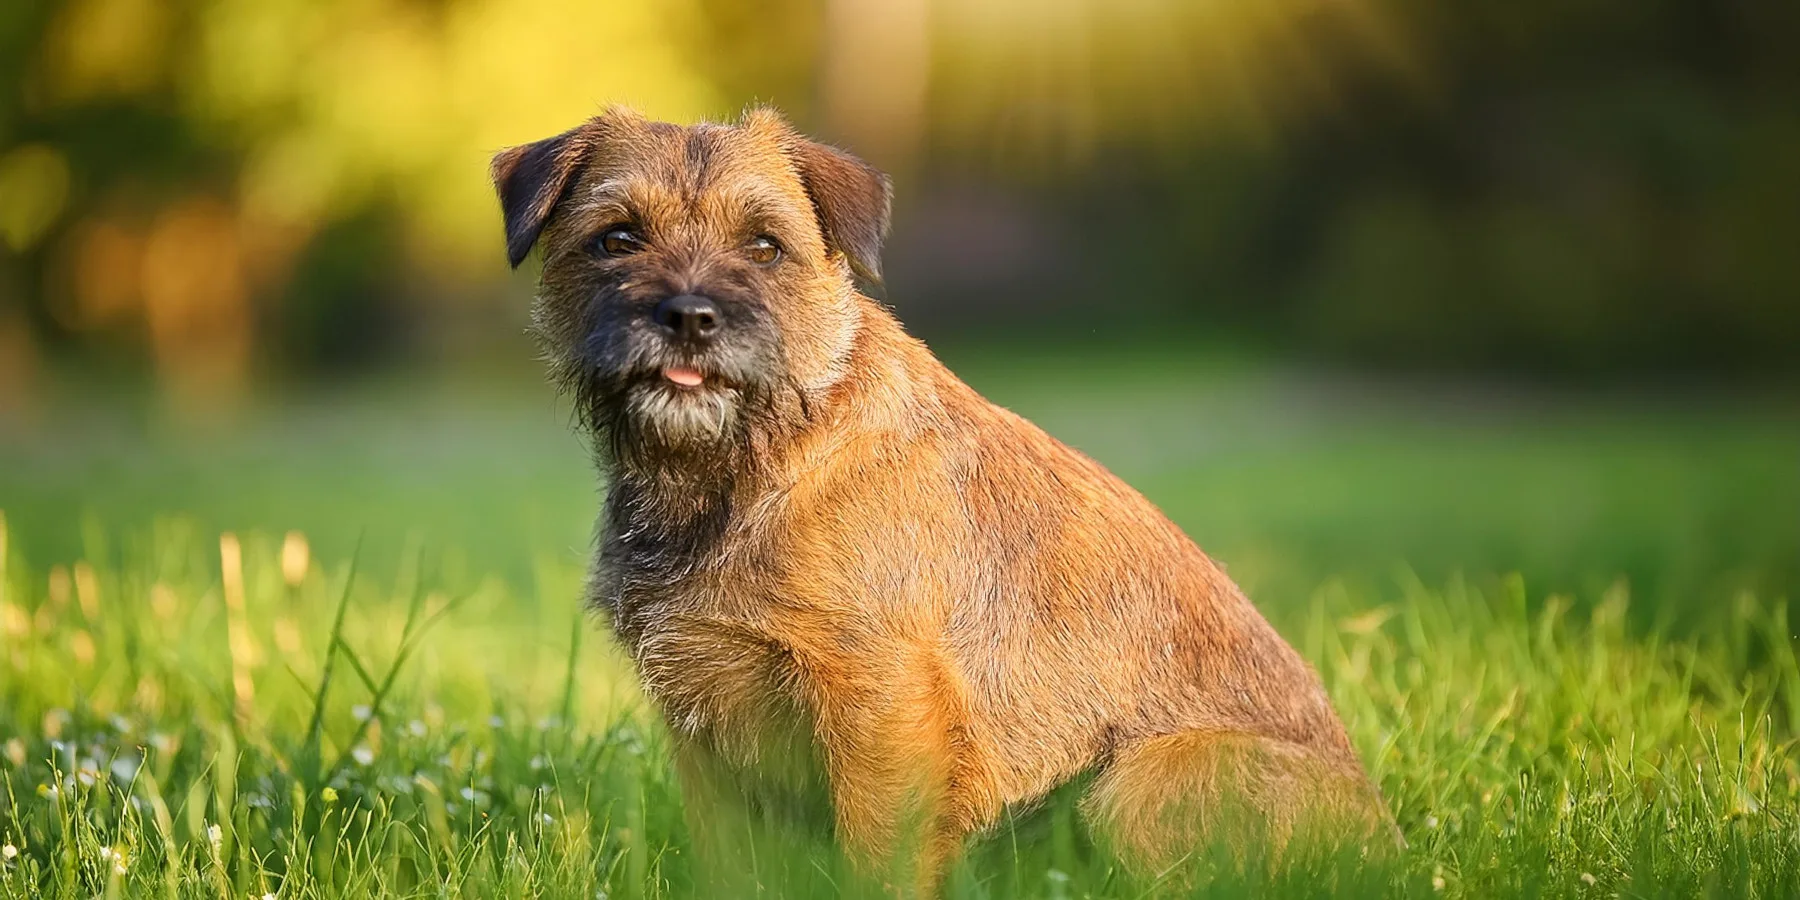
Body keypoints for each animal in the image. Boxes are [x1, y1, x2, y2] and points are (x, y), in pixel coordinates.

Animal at [493, 105, 1389, 892]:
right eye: (617, 239)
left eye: (765, 246)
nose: (688, 315)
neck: (744, 463)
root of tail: (1387, 837)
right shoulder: (707, 737)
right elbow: (732, 868)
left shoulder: (880, 704)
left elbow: (880, 861)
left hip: (1140, 782)